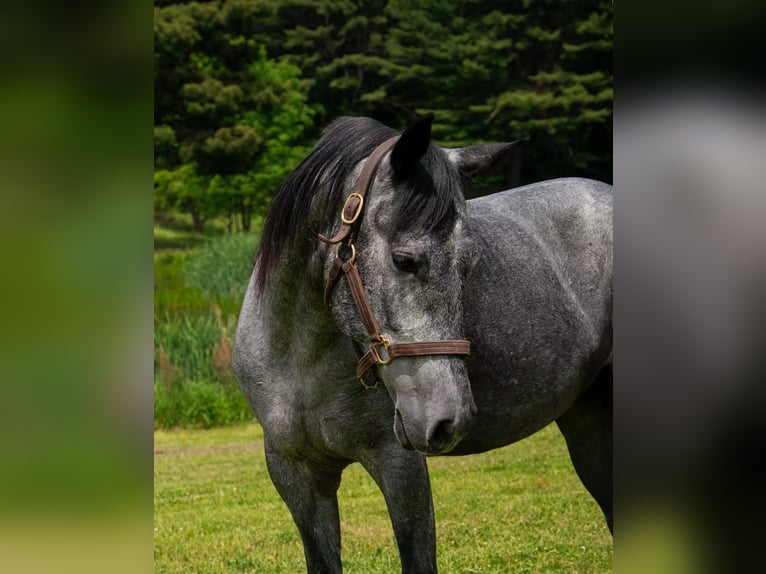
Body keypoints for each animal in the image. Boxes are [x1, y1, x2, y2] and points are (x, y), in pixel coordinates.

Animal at [232, 114, 613, 573]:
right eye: (405, 260)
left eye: (471, 265)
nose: (450, 420)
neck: (300, 363)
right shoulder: (297, 476)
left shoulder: (400, 466)